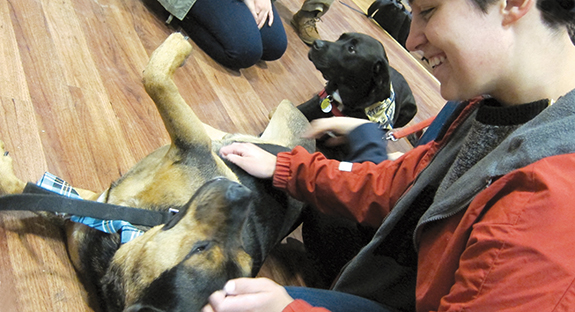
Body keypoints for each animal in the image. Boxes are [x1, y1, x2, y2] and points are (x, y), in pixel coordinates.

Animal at [0, 33, 312, 312]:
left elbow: (156, 80)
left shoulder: (192, 145)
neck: (127, 231)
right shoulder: (86, 203)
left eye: (199, 249)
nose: (242, 191)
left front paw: (177, 45)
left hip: (280, 126)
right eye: (244, 258)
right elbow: (28, 189)